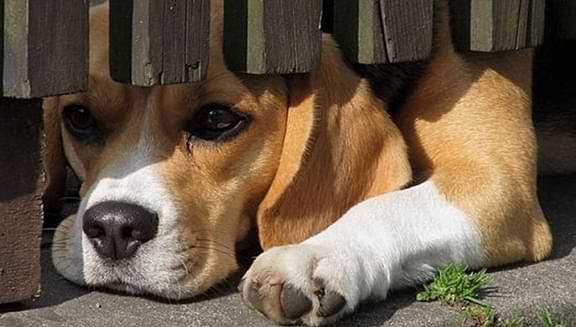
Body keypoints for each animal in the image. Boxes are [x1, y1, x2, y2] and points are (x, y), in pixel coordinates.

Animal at [42, 1, 564, 326]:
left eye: (216, 119)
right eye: (80, 117)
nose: (113, 227)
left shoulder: (496, 182)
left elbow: (385, 207)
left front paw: (311, 255)